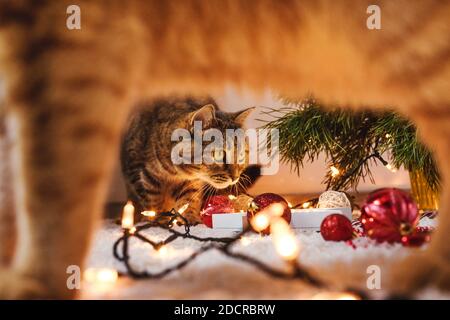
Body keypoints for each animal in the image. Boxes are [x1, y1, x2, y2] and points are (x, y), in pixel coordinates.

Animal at [120, 96, 256, 224]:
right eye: (218, 154)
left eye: (241, 154)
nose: (235, 177)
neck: (177, 172)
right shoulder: (143, 173)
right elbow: (153, 200)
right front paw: (159, 221)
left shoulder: (192, 183)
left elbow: (189, 200)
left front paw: (190, 219)